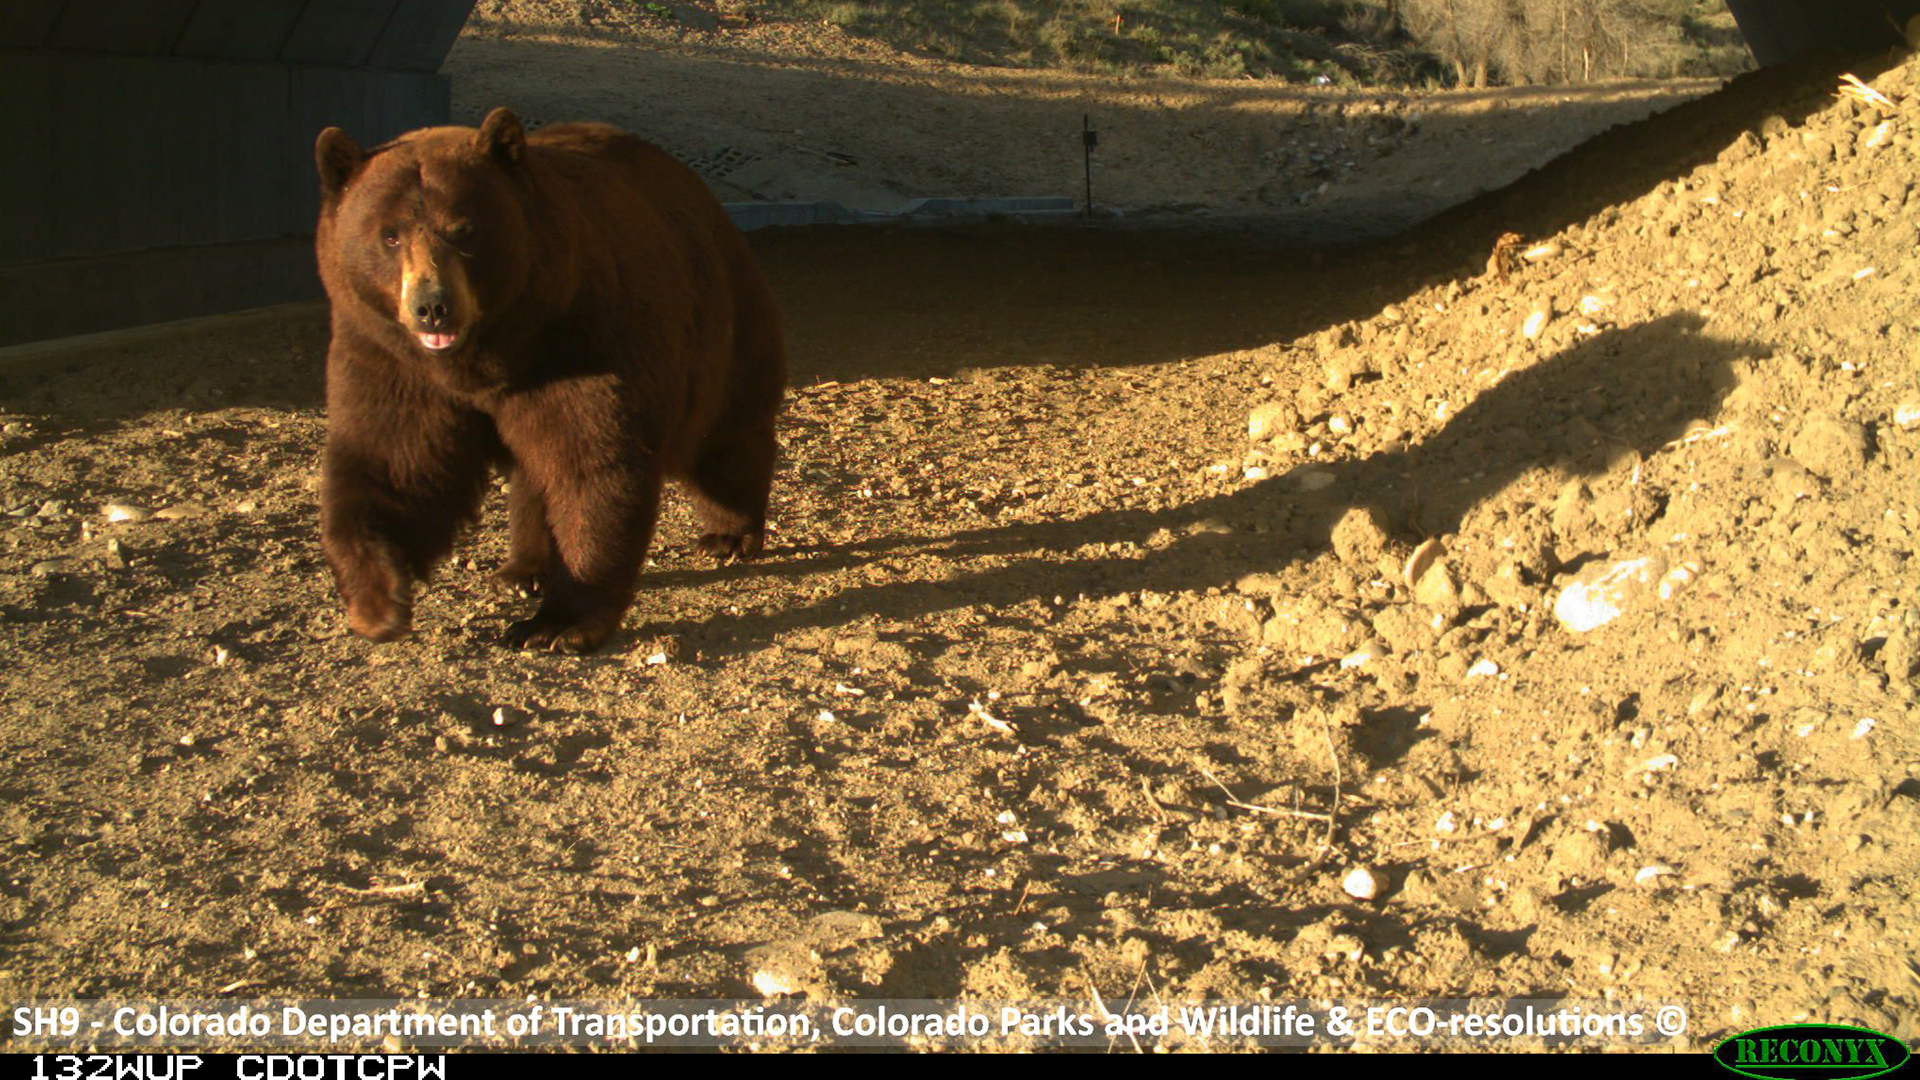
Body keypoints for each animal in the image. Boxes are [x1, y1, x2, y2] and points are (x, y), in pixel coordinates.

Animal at [312, 107, 787, 653]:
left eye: (464, 229)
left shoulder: (578, 340)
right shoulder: (389, 357)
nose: (432, 306)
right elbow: (394, 462)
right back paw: (523, 568)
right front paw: (377, 602)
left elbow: (591, 466)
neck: (487, 356)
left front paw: (556, 623)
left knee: (725, 436)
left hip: (721, 319)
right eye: (389, 235)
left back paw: (729, 532)